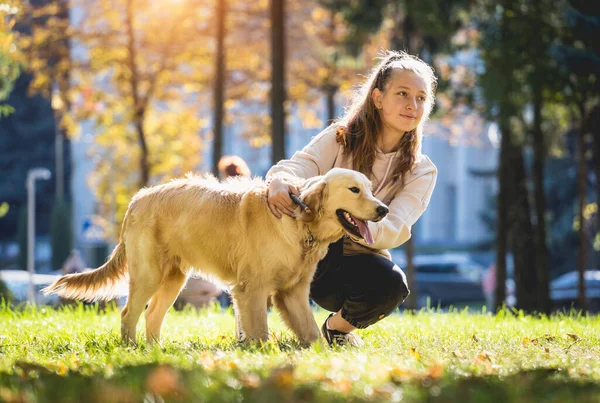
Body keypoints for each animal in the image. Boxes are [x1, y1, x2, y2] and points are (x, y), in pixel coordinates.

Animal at [42, 167, 390, 344]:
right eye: (354, 190)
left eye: (370, 189)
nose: (383, 209)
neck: (299, 222)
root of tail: (137, 199)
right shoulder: (252, 290)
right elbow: (259, 331)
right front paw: (260, 355)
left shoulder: (293, 292)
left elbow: (311, 332)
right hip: (149, 274)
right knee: (129, 313)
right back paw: (131, 348)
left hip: (174, 279)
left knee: (153, 315)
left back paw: (154, 351)